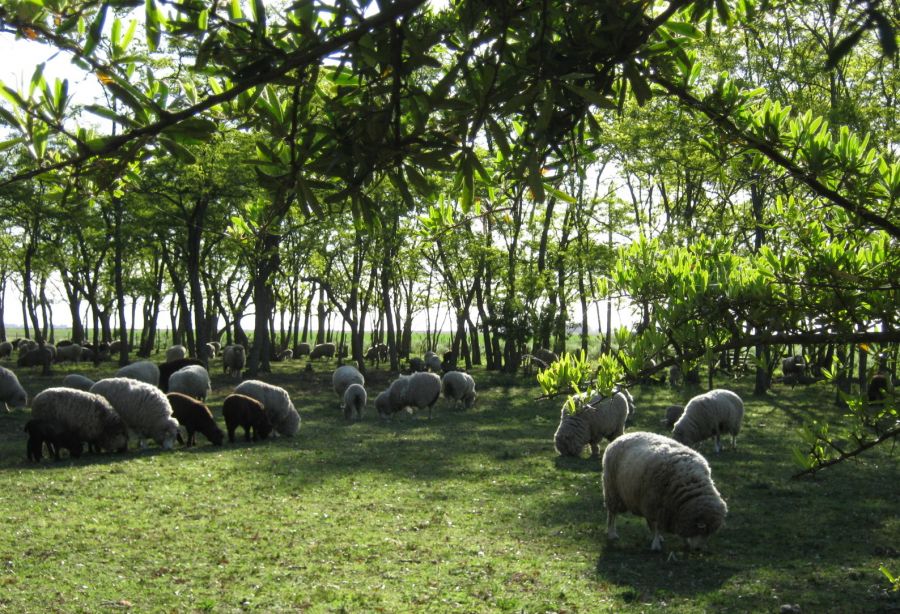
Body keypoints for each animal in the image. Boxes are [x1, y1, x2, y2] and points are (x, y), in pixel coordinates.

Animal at [600, 434, 728, 552]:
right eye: (701, 529)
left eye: (709, 533)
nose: (699, 549)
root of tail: (621, 436)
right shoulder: (655, 505)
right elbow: (656, 527)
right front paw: (656, 545)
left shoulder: (669, 510)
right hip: (612, 491)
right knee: (612, 514)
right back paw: (612, 533)